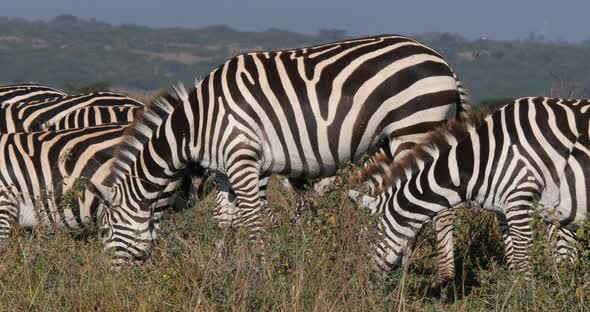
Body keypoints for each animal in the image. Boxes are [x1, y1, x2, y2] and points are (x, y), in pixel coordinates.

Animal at [89, 34, 476, 264]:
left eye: (106, 230)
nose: (113, 278)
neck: (197, 124)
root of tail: (443, 62)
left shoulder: (244, 160)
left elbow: (251, 221)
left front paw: (259, 270)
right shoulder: (228, 172)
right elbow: (224, 222)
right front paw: (220, 267)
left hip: (416, 125)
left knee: (438, 206)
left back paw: (439, 279)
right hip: (394, 139)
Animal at [350, 97, 588, 278]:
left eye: (373, 235)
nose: (363, 279)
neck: (480, 160)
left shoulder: (519, 200)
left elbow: (521, 260)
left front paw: (528, 299)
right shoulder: (501, 209)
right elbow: (512, 259)